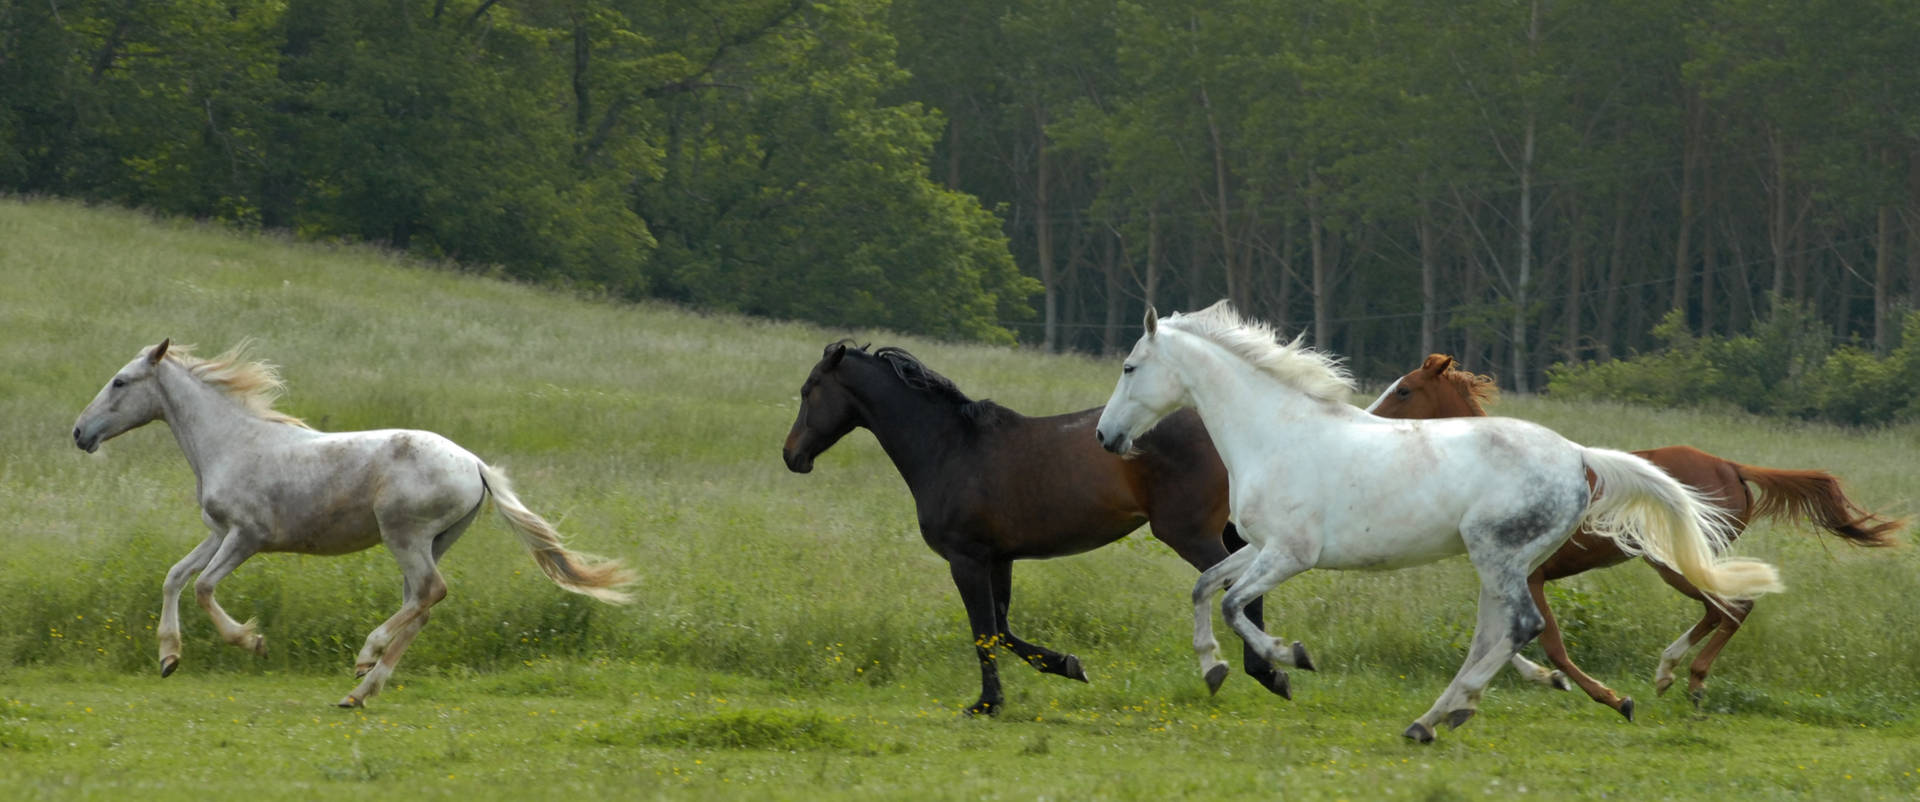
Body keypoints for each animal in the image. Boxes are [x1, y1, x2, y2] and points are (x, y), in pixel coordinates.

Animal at [72, 341, 637, 706]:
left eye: (120, 381)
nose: (79, 432)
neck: (232, 442)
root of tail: (476, 464)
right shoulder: (218, 531)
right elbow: (174, 576)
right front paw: (169, 657)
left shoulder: (247, 537)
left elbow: (204, 587)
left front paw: (253, 642)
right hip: (433, 541)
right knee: (421, 605)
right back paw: (361, 689)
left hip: (404, 535)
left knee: (429, 593)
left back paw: (367, 656)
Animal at [779, 341, 1305, 717]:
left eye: (808, 389)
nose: (792, 455)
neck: (949, 448)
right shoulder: (998, 558)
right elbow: (1003, 629)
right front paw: (1068, 666)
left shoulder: (966, 559)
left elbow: (983, 632)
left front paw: (986, 704)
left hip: (1189, 533)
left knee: (1235, 589)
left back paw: (1262, 671)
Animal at [1098, 303, 1781, 740]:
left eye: (1129, 367)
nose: (1107, 438)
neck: (1276, 433)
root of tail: (1580, 456)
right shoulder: (1260, 547)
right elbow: (1204, 587)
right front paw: (1213, 668)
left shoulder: (1290, 554)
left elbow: (1235, 604)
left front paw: (1292, 659)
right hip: (1502, 564)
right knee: (1497, 634)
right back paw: (1439, 718)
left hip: (1497, 556)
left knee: (1522, 628)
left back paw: (1442, 717)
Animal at [1374, 354, 1896, 717]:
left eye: (1404, 390)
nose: (1372, 419)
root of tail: (1732, 465)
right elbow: (1507, 640)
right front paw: (1543, 679)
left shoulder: (1531, 576)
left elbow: (1549, 643)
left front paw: (1609, 697)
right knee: (1722, 610)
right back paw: (1670, 673)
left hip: (1672, 561)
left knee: (1732, 608)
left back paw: (1689, 679)